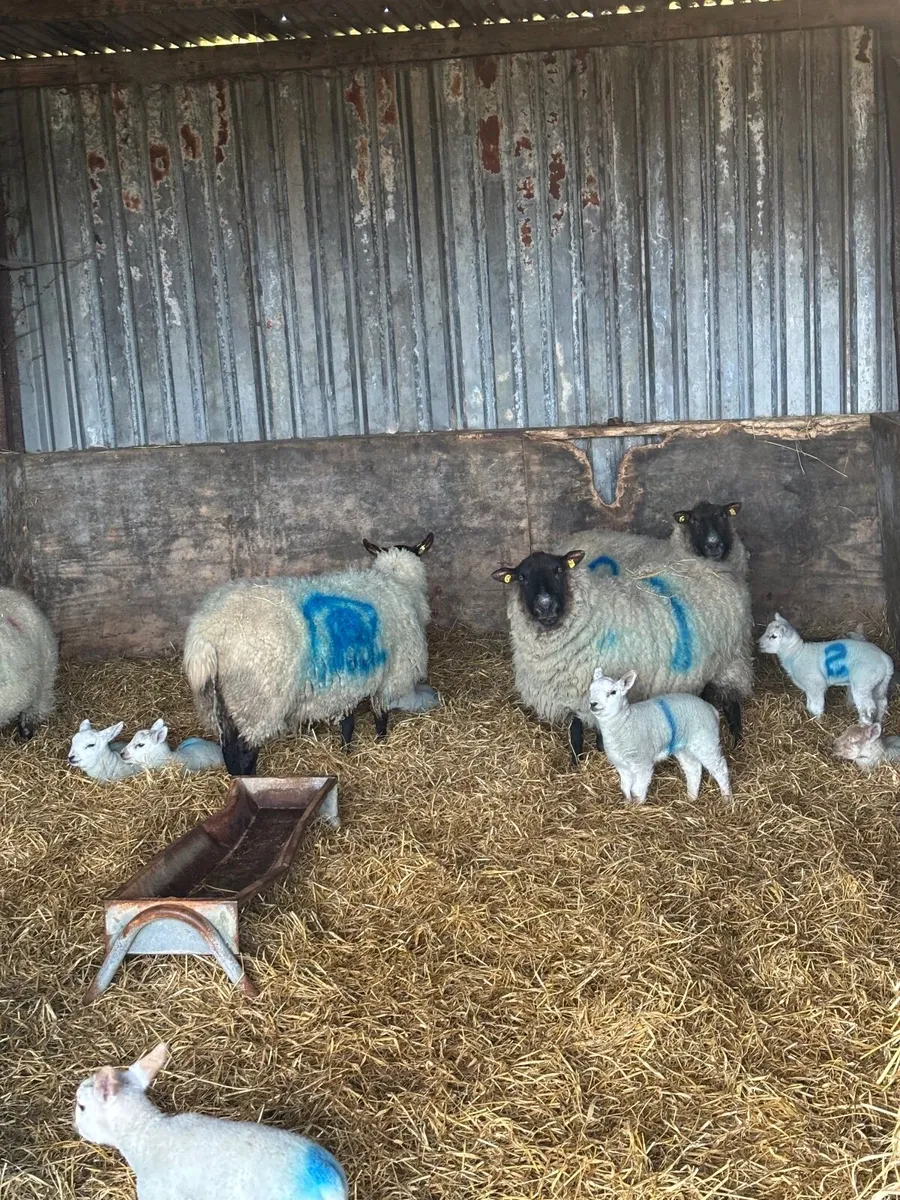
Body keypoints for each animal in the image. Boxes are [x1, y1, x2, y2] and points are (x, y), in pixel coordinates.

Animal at [183, 532, 434, 775]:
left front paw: (346, 751)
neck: (398, 582)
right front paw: (381, 743)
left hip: (218, 702)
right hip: (256, 701)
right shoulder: (388, 674)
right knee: (245, 753)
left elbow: (348, 721)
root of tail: (207, 633)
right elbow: (380, 715)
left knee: (229, 750)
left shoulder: (347, 680)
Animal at [491, 546, 753, 764]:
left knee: (733, 705)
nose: (546, 606)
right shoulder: (570, 693)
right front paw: (575, 763)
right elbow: (575, 732)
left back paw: (737, 743)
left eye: (558, 570)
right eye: (522, 578)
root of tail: (717, 568)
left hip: (731, 660)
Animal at [588, 668, 731, 803]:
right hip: (684, 747)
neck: (625, 723)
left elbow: (637, 791)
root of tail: (711, 708)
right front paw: (627, 804)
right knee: (693, 769)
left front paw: (637, 806)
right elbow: (625, 788)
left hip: (706, 741)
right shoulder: (622, 766)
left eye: (613, 692)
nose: (593, 704)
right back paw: (691, 798)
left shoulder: (642, 763)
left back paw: (727, 799)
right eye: (590, 689)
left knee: (720, 768)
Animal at [758, 613, 894, 724]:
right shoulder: (809, 688)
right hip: (879, 683)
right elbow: (810, 705)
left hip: (863, 682)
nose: (757, 643)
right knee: (882, 702)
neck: (796, 654)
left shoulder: (816, 684)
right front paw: (811, 717)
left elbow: (816, 705)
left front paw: (818, 721)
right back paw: (879, 721)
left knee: (868, 709)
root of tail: (886, 660)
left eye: (773, 636)